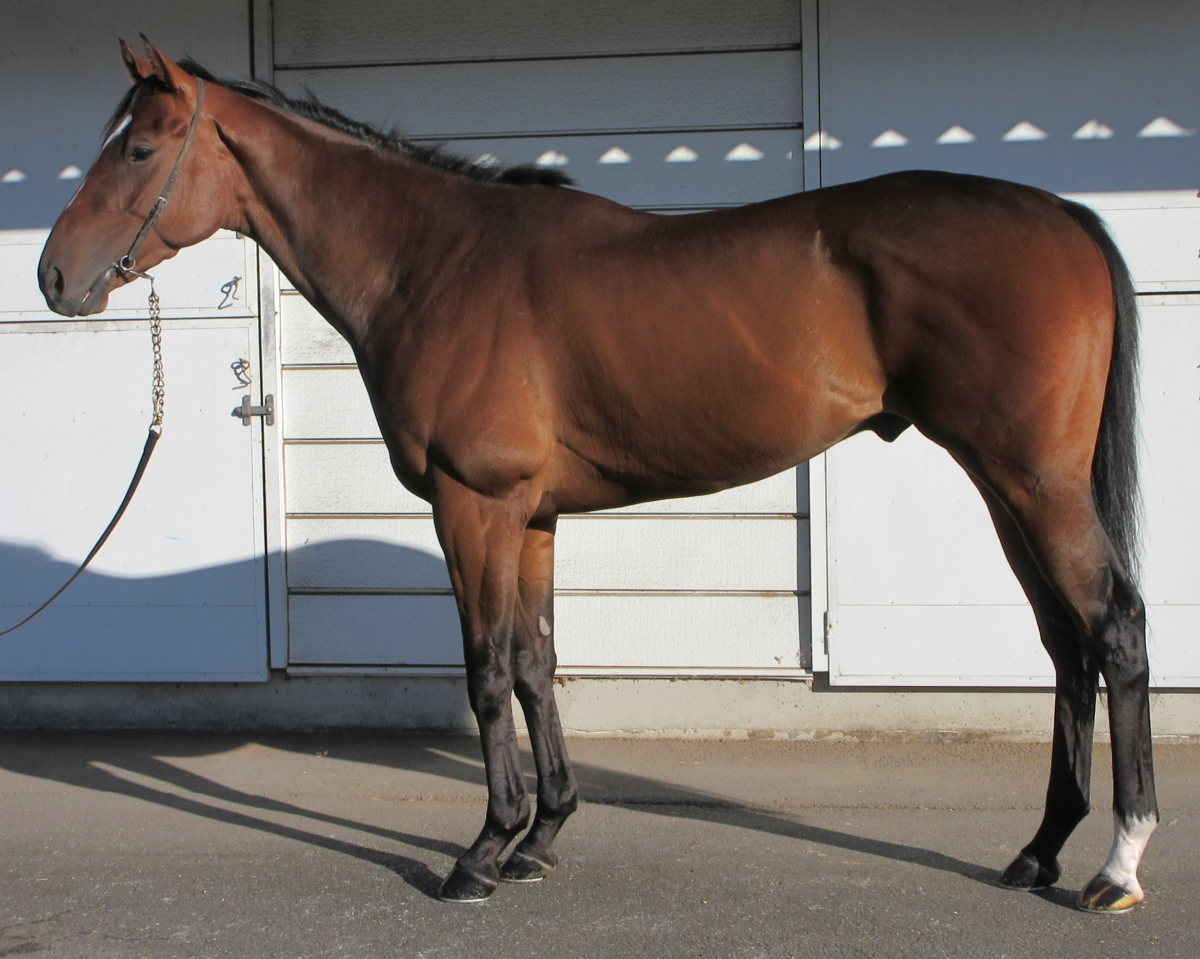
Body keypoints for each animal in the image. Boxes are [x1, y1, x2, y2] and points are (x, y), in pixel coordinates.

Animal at [38, 39, 1156, 912]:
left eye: (140, 147)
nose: (52, 276)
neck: (432, 262)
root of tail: (1060, 212)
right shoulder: (531, 516)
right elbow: (538, 661)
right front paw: (542, 836)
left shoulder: (474, 506)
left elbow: (488, 670)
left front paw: (482, 852)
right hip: (1006, 484)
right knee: (1065, 643)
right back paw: (1039, 851)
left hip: (1034, 480)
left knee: (1114, 627)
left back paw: (1116, 863)